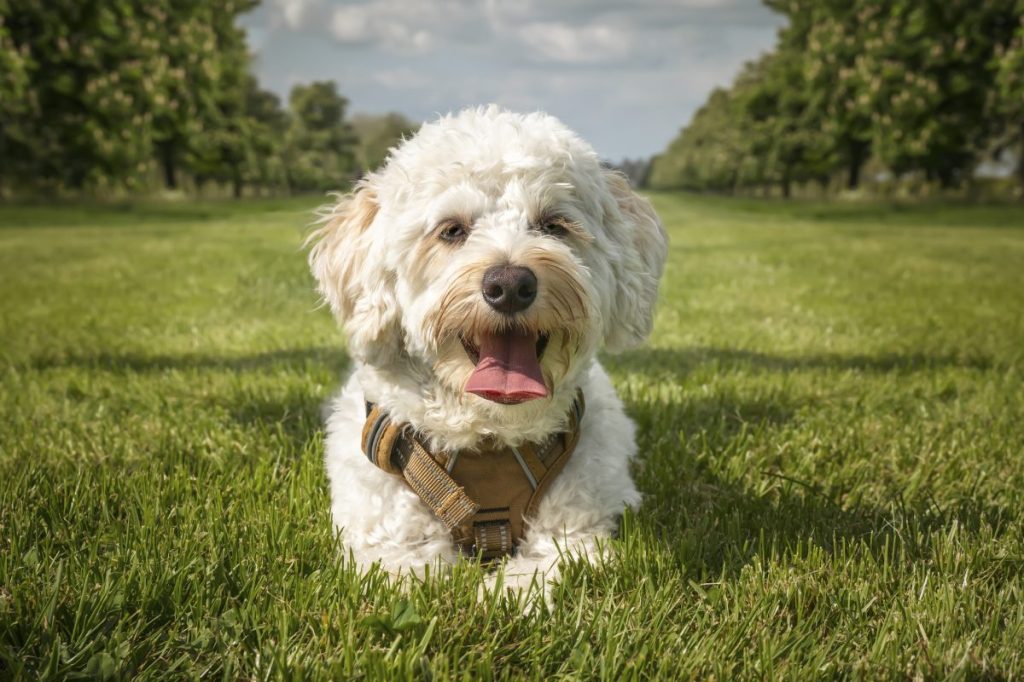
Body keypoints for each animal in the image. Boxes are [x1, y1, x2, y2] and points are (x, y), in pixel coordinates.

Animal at [307, 106, 667, 593]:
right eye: (452, 230)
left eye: (554, 225)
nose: (510, 285)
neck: (491, 435)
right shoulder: (392, 544)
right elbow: (415, 578)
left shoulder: (575, 535)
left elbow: (536, 575)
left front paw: (499, 597)